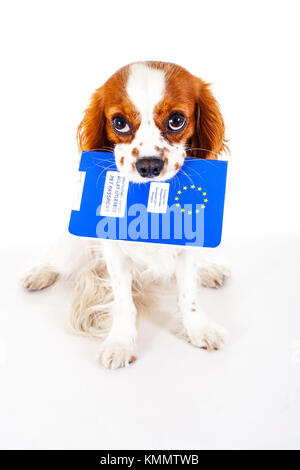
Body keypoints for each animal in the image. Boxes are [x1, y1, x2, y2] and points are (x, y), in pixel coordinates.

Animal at [23, 62, 230, 370]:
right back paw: (40, 273)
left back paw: (210, 270)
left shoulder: (187, 248)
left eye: (176, 120)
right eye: (119, 123)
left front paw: (198, 328)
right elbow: (124, 301)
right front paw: (120, 342)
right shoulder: (114, 253)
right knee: (59, 259)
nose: (149, 166)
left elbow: (188, 295)